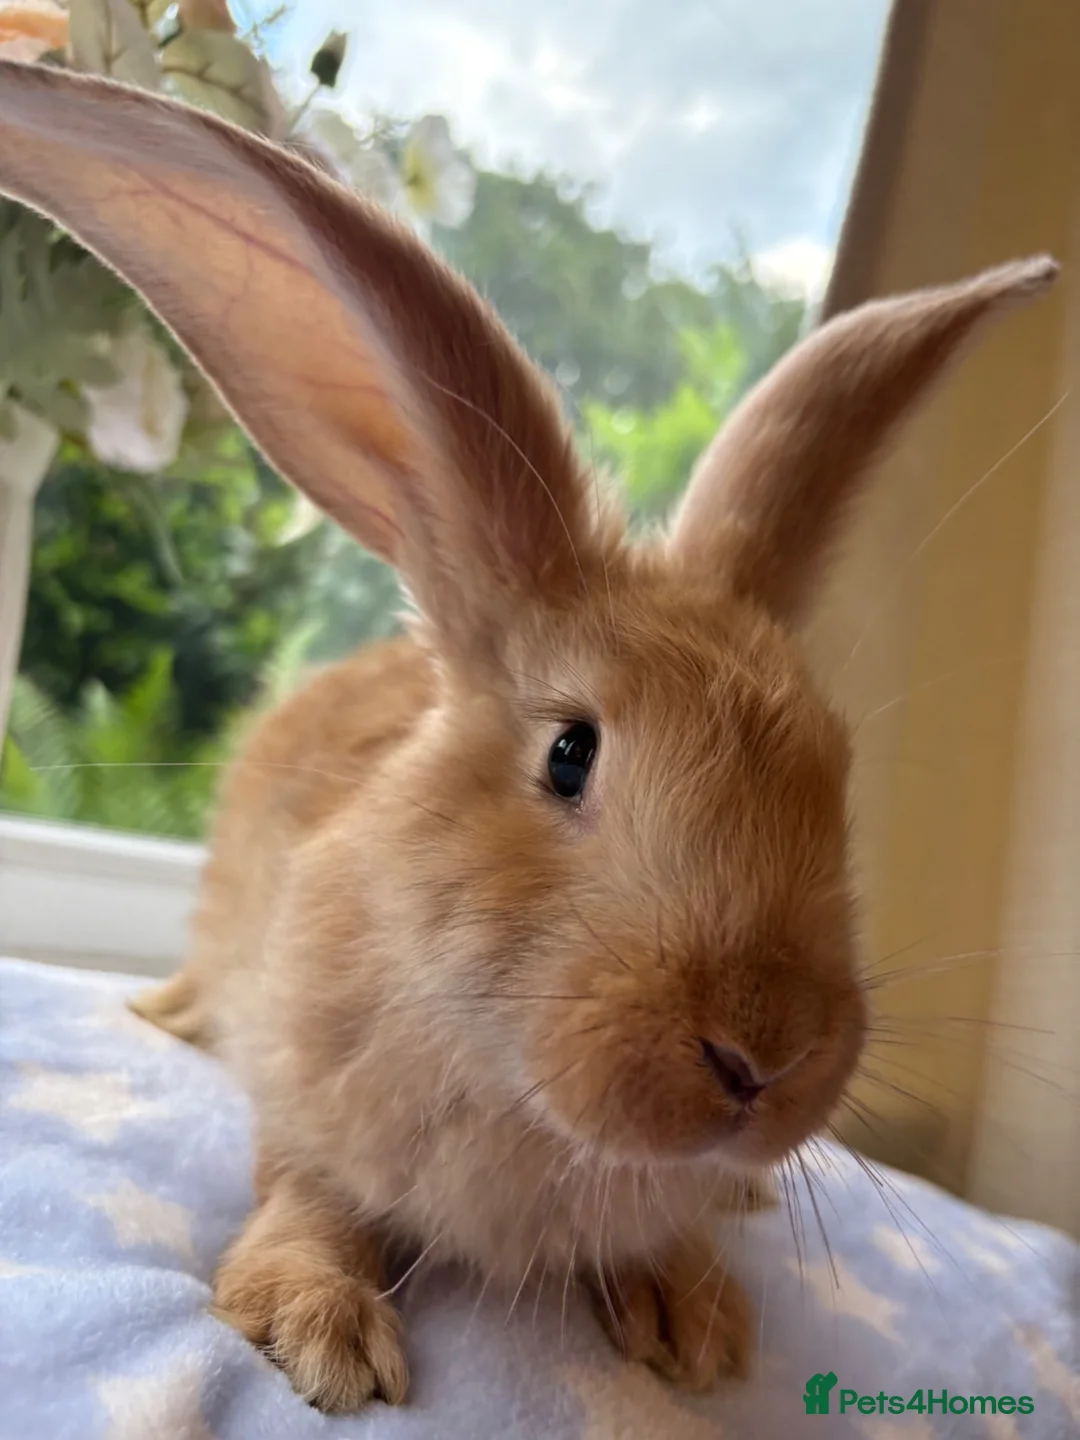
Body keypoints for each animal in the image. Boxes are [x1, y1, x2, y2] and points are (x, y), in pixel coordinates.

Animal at [0, 60, 1058, 1415]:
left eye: (837, 773)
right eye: (570, 755)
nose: (762, 1057)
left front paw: (698, 1323)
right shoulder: (310, 1112)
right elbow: (310, 1199)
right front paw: (314, 1333)